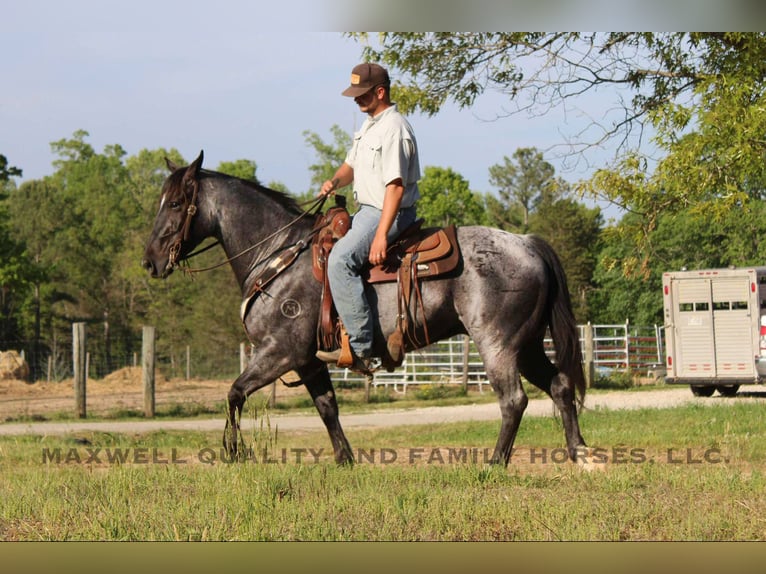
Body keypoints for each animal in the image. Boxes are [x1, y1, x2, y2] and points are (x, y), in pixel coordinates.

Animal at [141, 151, 587, 466]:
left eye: (177, 203)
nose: (150, 261)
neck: (278, 253)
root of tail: (527, 243)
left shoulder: (280, 351)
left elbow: (234, 393)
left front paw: (234, 452)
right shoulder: (308, 360)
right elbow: (327, 407)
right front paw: (345, 460)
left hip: (497, 344)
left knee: (513, 400)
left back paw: (494, 463)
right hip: (527, 344)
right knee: (561, 387)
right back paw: (579, 454)